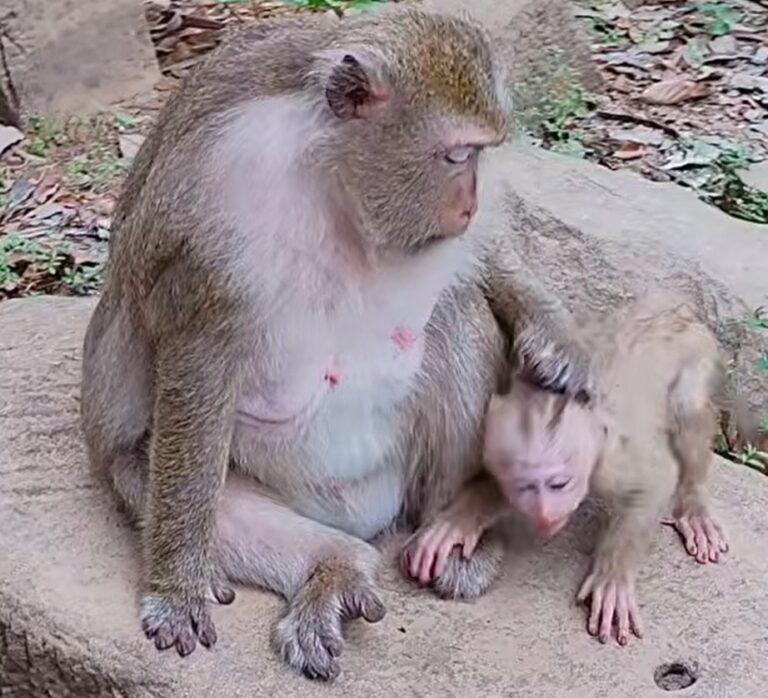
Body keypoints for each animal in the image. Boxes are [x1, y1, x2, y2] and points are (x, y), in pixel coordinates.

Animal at [80, 6, 592, 681]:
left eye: (481, 156)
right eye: (457, 154)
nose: (468, 203)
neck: (332, 180)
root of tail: (367, 518)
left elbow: (480, 263)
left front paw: (557, 337)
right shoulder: (216, 201)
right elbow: (200, 355)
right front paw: (175, 589)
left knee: (457, 316)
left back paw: (453, 535)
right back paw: (335, 567)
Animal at [403, 293, 734, 646]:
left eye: (559, 484)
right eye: (526, 487)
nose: (545, 513)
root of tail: (673, 307)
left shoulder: (612, 464)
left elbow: (656, 480)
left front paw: (613, 575)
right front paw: (460, 520)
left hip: (698, 348)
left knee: (688, 408)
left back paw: (692, 503)